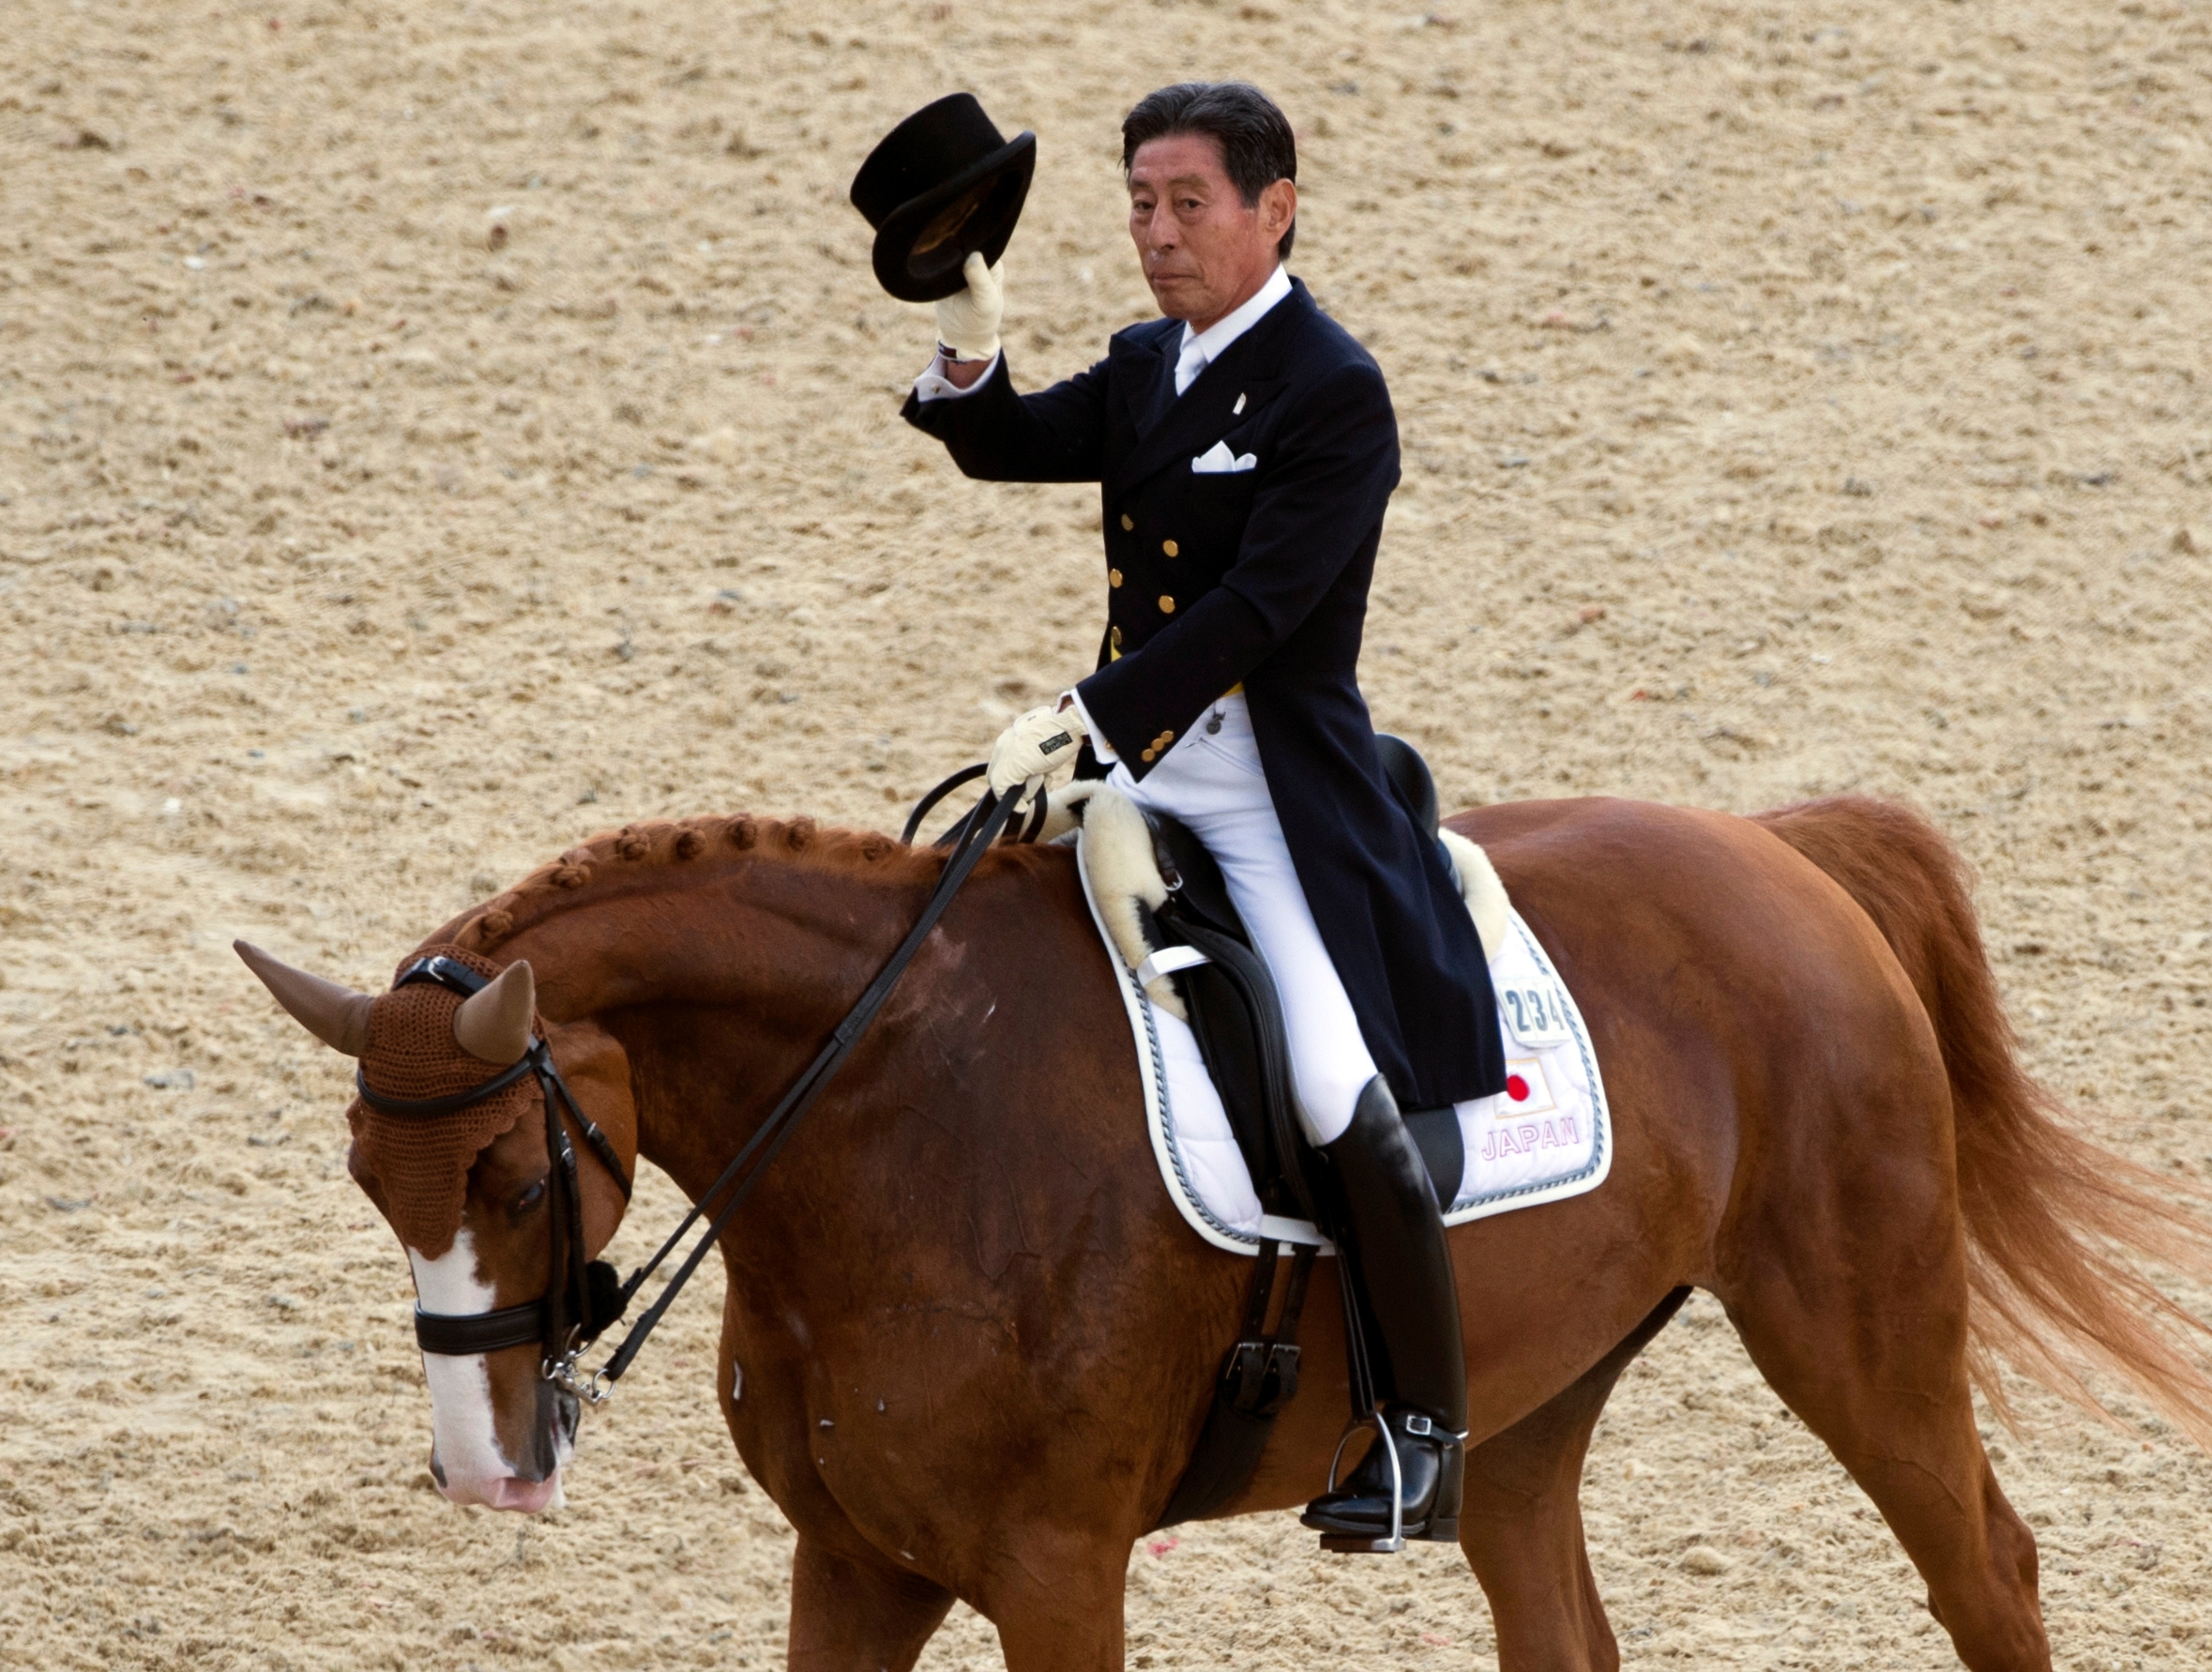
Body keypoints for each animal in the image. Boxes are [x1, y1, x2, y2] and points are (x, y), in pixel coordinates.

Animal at [236, 792, 2212, 1671]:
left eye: (510, 1181)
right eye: (366, 1187)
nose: (482, 1470)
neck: (893, 1123)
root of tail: (1779, 846)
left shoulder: (1053, 1565)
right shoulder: (856, 1557)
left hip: (1852, 1326)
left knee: (1983, 1566)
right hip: (1525, 1404)